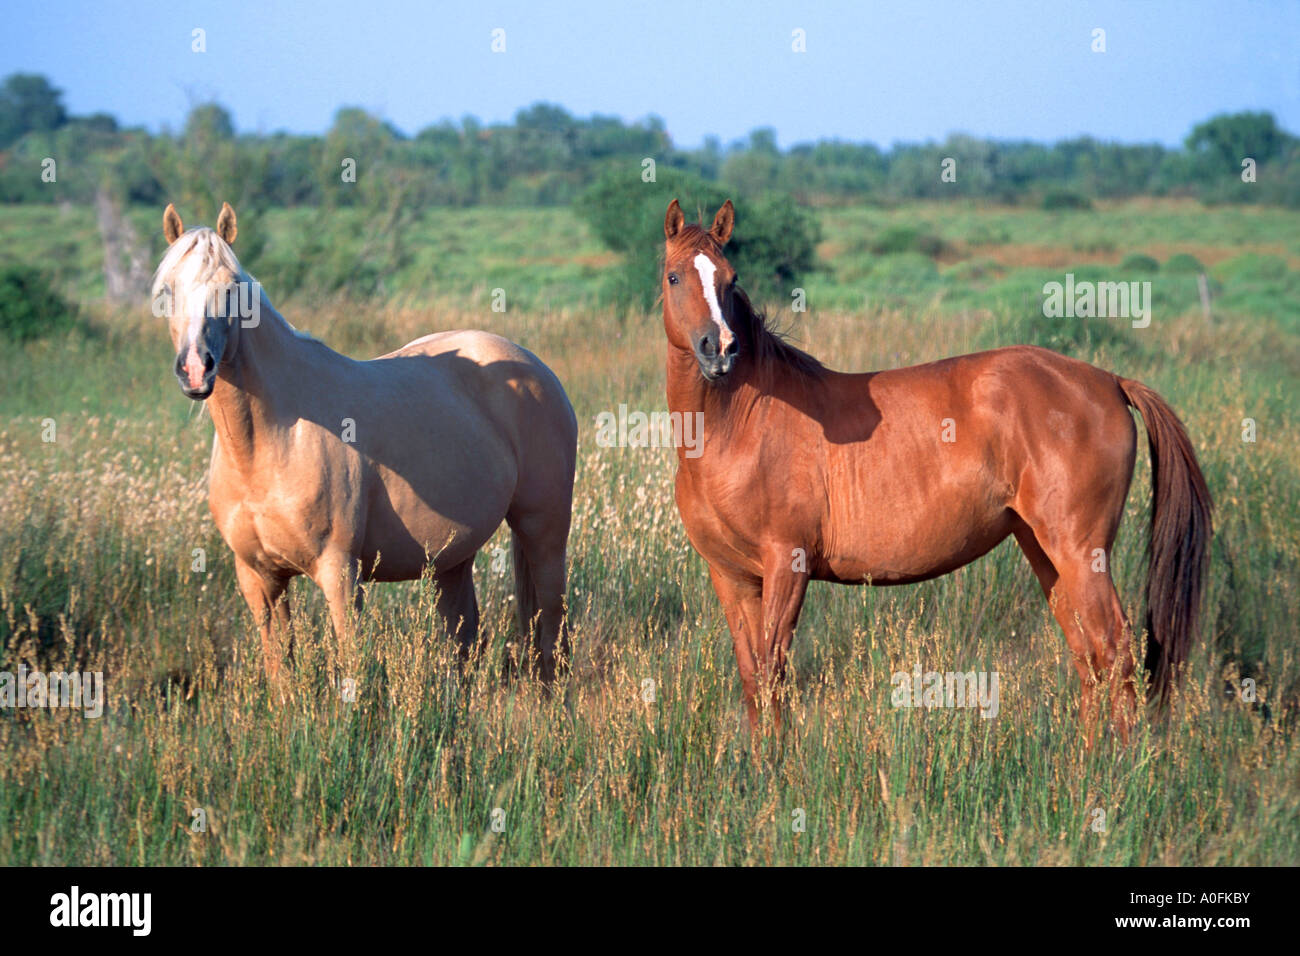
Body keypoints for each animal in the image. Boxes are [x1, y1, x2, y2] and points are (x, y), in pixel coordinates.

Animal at [152, 203, 578, 684]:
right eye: (167, 289)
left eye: (230, 289)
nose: (195, 369)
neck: (270, 443)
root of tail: (532, 365)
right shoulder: (260, 579)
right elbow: (281, 671)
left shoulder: (339, 571)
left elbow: (353, 663)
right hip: (452, 558)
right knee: (465, 639)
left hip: (543, 530)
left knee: (552, 627)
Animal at [661, 199, 1212, 743]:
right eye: (673, 276)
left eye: (731, 278)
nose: (721, 348)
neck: (740, 425)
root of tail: (1109, 381)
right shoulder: (732, 576)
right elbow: (753, 677)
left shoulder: (786, 565)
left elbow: (773, 674)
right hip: (1045, 552)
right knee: (1088, 656)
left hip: (1080, 552)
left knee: (1114, 649)